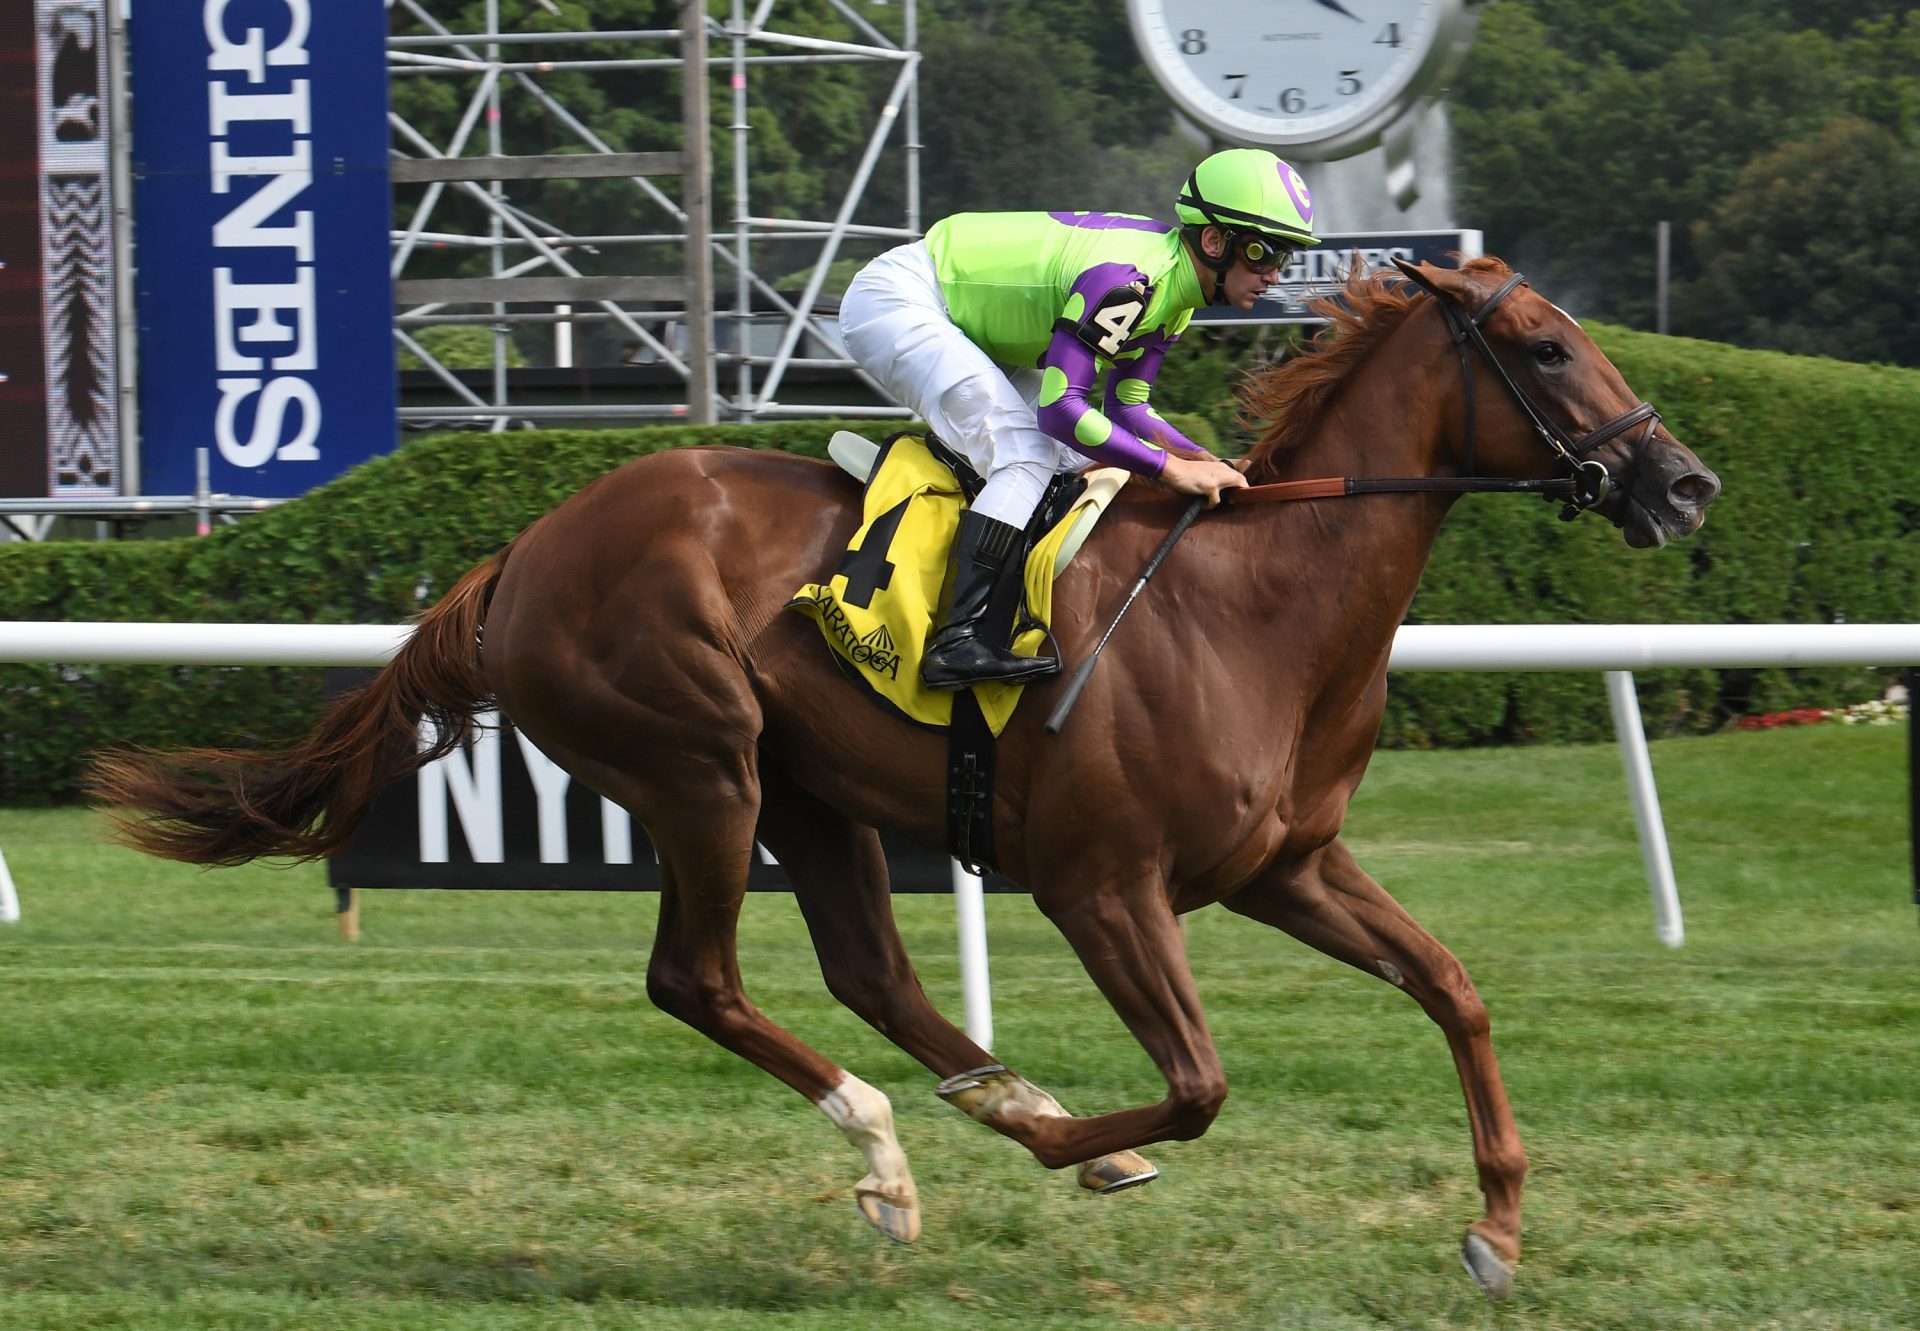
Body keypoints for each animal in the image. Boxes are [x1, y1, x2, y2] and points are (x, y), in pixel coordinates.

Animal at [90, 259, 1720, 1298]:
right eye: (1552, 347)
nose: (1687, 482)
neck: (1253, 598)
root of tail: (521, 552)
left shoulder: (1283, 865)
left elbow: (1453, 986)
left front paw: (1497, 1225)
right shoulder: (1101, 884)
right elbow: (1196, 1085)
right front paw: (1066, 1146)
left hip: (808, 791)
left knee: (865, 968)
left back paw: (980, 1095)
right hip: (700, 762)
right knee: (697, 978)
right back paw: (901, 1146)